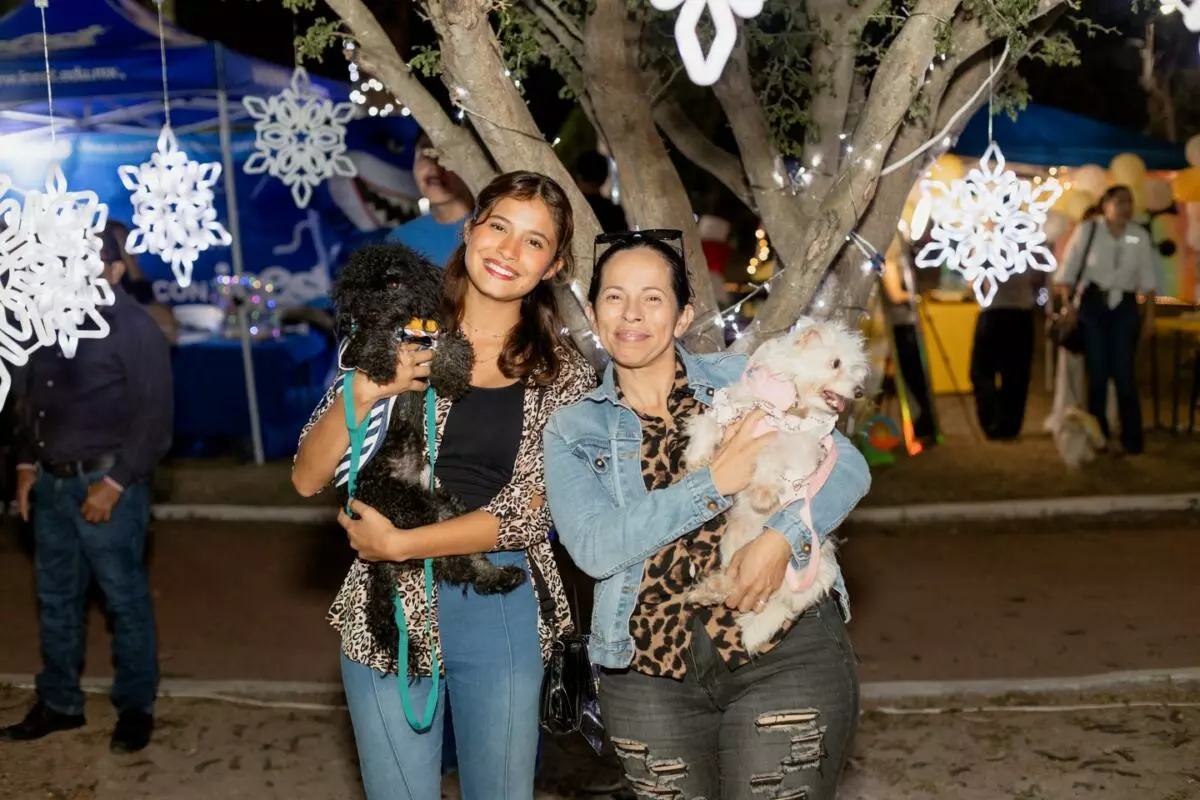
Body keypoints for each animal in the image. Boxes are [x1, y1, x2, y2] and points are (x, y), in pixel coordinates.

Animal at [333, 243, 527, 674]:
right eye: (357, 289)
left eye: (392, 282)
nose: (369, 309)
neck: (404, 327)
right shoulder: (357, 348)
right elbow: (370, 343)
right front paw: (383, 358)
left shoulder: (435, 332)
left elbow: (452, 345)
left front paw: (451, 371)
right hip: (412, 508)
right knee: (444, 562)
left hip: (445, 503)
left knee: (456, 558)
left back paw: (498, 576)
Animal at [684, 318, 869, 653]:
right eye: (836, 363)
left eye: (857, 370)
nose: (860, 391)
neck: (788, 399)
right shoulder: (731, 407)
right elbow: (707, 423)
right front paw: (696, 458)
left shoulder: (791, 443)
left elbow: (769, 456)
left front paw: (762, 493)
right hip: (733, 545)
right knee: (735, 583)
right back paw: (708, 590)